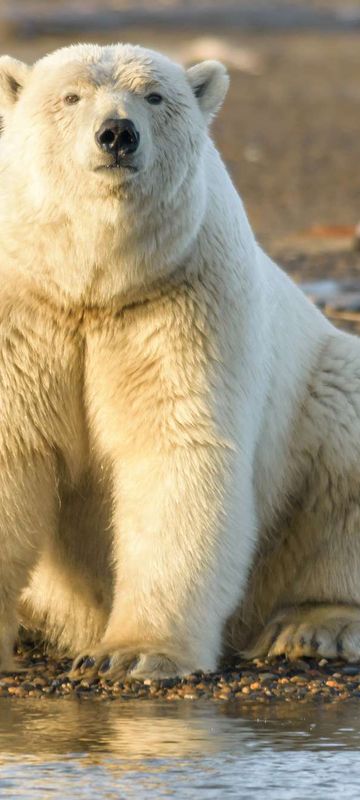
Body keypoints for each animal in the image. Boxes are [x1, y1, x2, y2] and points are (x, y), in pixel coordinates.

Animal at [0, 42, 360, 680]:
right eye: (70, 96)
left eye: (154, 95)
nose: (117, 134)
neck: (92, 283)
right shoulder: (26, 309)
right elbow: (12, 449)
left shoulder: (181, 297)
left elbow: (175, 447)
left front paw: (132, 653)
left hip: (325, 386)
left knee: (342, 460)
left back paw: (316, 624)